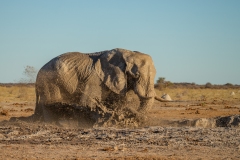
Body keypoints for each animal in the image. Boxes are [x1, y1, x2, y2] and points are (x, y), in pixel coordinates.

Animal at [33, 48, 169, 124]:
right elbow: (88, 103)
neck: (127, 53)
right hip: (49, 83)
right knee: (49, 103)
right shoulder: (94, 79)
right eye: (135, 75)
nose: (131, 112)